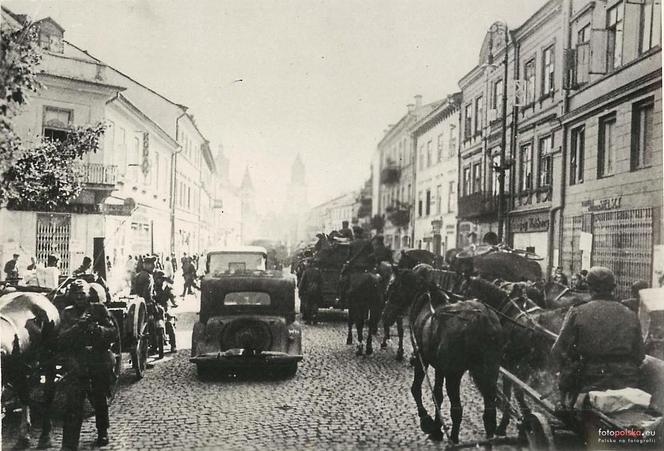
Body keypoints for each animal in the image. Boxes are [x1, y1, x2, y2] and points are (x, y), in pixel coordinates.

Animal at [384, 266, 504, 444]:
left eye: (392, 286)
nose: (385, 316)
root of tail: (481, 319)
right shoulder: (440, 367)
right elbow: (437, 395)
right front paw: (437, 428)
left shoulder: (422, 359)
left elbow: (416, 389)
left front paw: (427, 421)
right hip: (489, 372)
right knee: (489, 414)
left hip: (454, 375)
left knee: (457, 410)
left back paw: (453, 439)